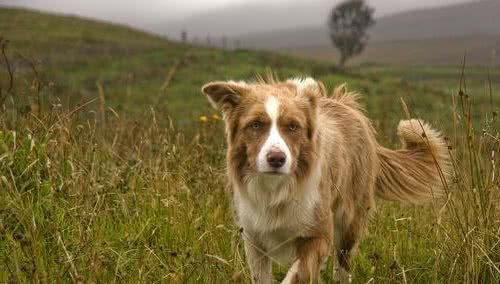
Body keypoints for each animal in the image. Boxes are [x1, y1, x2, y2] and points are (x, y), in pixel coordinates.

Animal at [201, 76, 452, 282]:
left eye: (292, 126)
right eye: (255, 125)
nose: (276, 159)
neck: (277, 190)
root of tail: (346, 105)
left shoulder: (318, 233)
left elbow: (298, 274)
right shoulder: (254, 239)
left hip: (350, 220)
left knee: (343, 266)